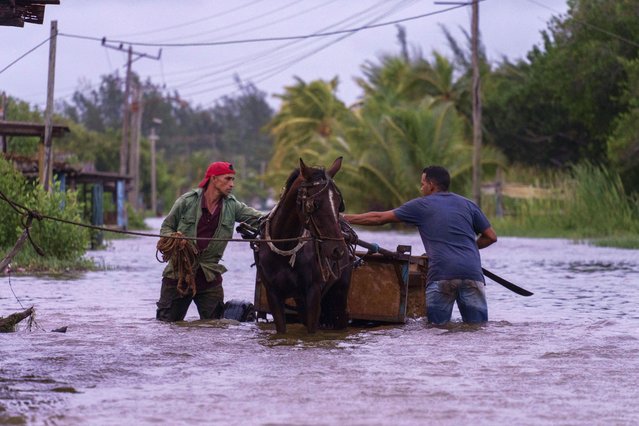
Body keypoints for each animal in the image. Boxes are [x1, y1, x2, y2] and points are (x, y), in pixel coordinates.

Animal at [255, 156, 356, 332]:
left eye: (339, 204)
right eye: (314, 204)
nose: (338, 250)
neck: (285, 245)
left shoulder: (313, 293)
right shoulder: (273, 294)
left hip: (340, 291)